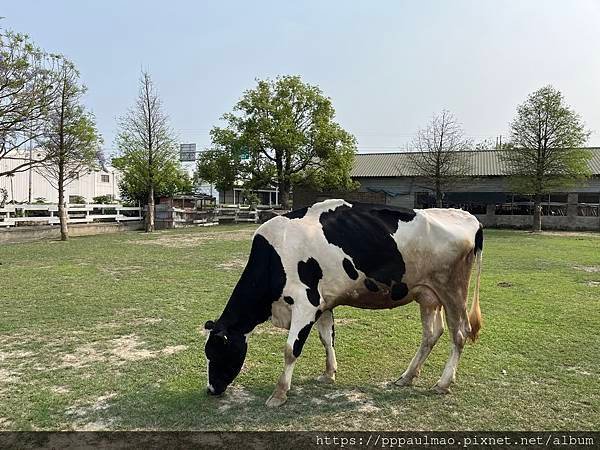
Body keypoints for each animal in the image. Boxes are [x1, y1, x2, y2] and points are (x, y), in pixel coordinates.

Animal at [203, 199, 482, 406]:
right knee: (432, 334)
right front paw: (329, 373)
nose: (211, 389)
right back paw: (406, 377)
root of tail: (467, 216)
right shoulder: (323, 303)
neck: (275, 256)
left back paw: (443, 383)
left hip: (453, 291)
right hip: (428, 295)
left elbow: (291, 349)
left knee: (460, 333)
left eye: (217, 352)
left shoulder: (306, 304)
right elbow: (327, 338)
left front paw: (279, 394)